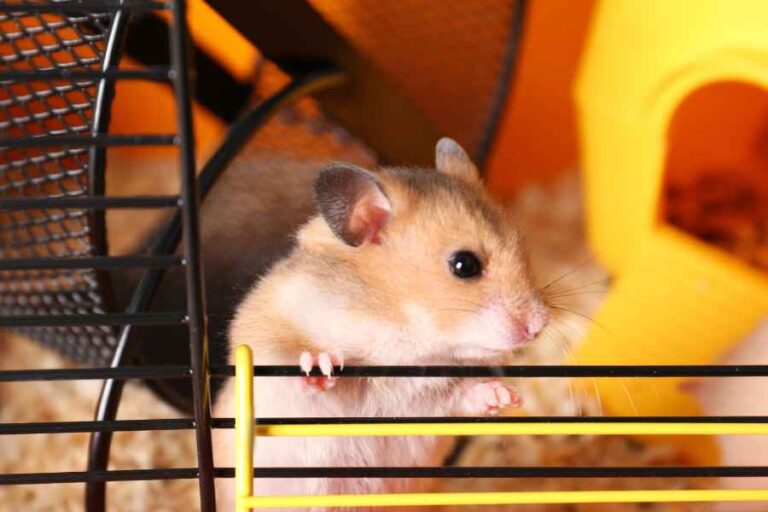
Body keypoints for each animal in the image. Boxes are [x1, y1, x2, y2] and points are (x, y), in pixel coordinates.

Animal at [212, 138, 550, 511]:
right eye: (465, 265)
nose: (539, 325)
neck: (400, 324)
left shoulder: (429, 397)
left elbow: (460, 394)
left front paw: (505, 397)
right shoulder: (270, 319)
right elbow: (286, 355)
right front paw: (322, 367)